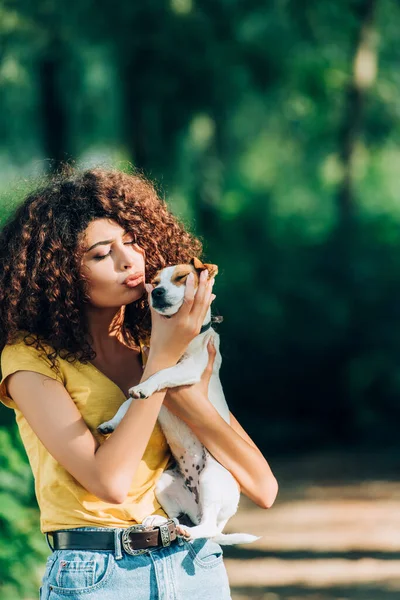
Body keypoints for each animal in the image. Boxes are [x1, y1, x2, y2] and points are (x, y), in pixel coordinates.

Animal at [98, 255, 258, 548]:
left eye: (182, 277)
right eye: (154, 282)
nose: (157, 293)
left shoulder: (190, 370)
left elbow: (162, 374)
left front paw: (144, 388)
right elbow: (127, 404)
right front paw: (112, 423)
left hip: (211, 479)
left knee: (205, 527)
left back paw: (191, 532)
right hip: (165, 483)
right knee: (176, 517)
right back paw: (158, 521)